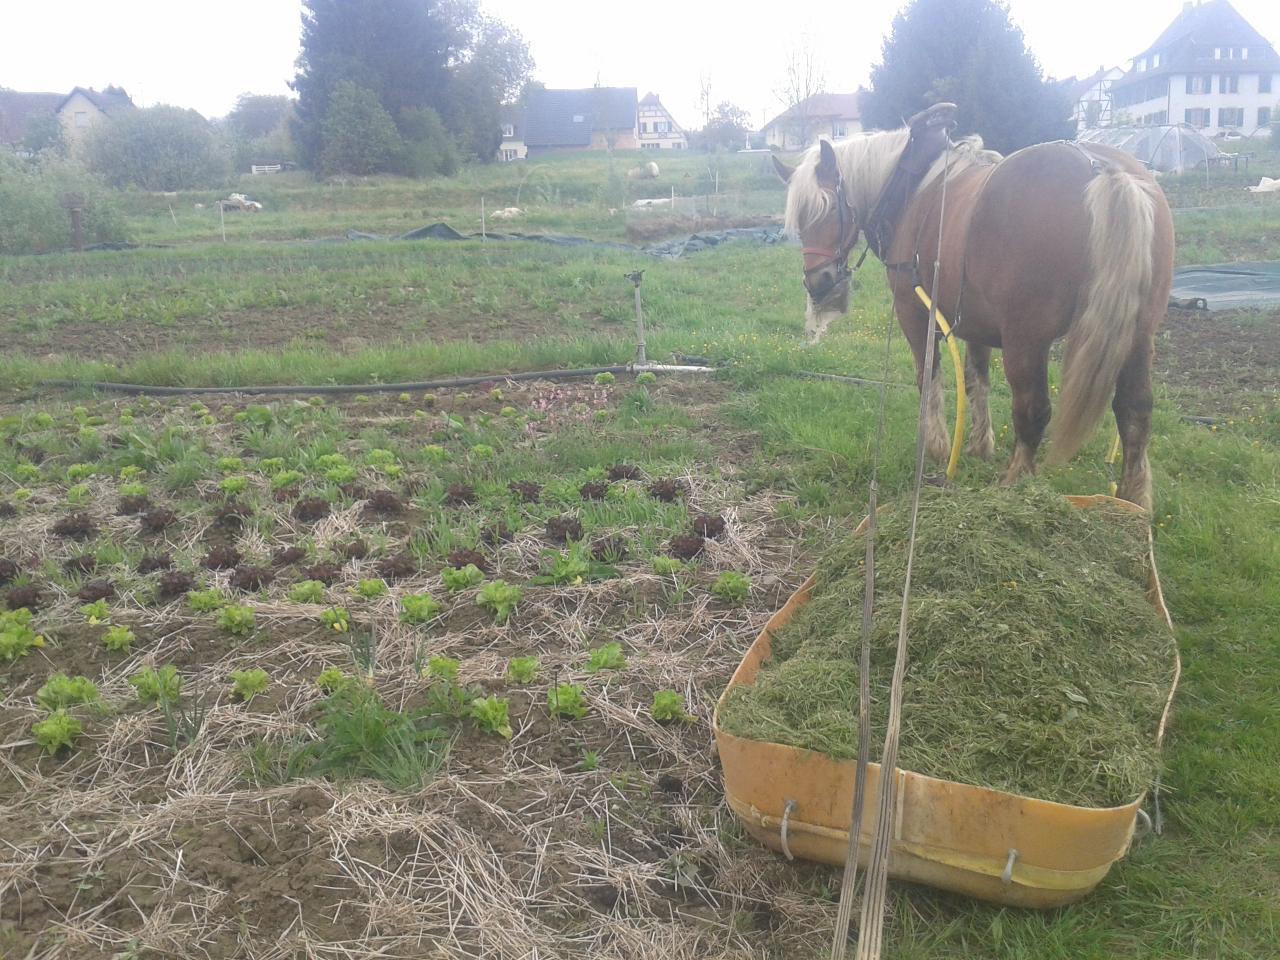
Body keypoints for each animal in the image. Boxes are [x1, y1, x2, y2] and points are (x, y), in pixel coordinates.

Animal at [772, 103, 1174, 511]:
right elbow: (976, 378)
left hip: (1026, 339)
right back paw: (1133, 501)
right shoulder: (976, 323)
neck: (911, 187)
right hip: (1137, 334)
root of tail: (1104, 169)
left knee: (1033, 411)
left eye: (825, 209)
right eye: (799, 220)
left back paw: (1014, 486)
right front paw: (980, 446)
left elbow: (928, 375)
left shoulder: (913, 311)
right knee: (1135, 410)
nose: (817, 281)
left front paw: (935, 446)